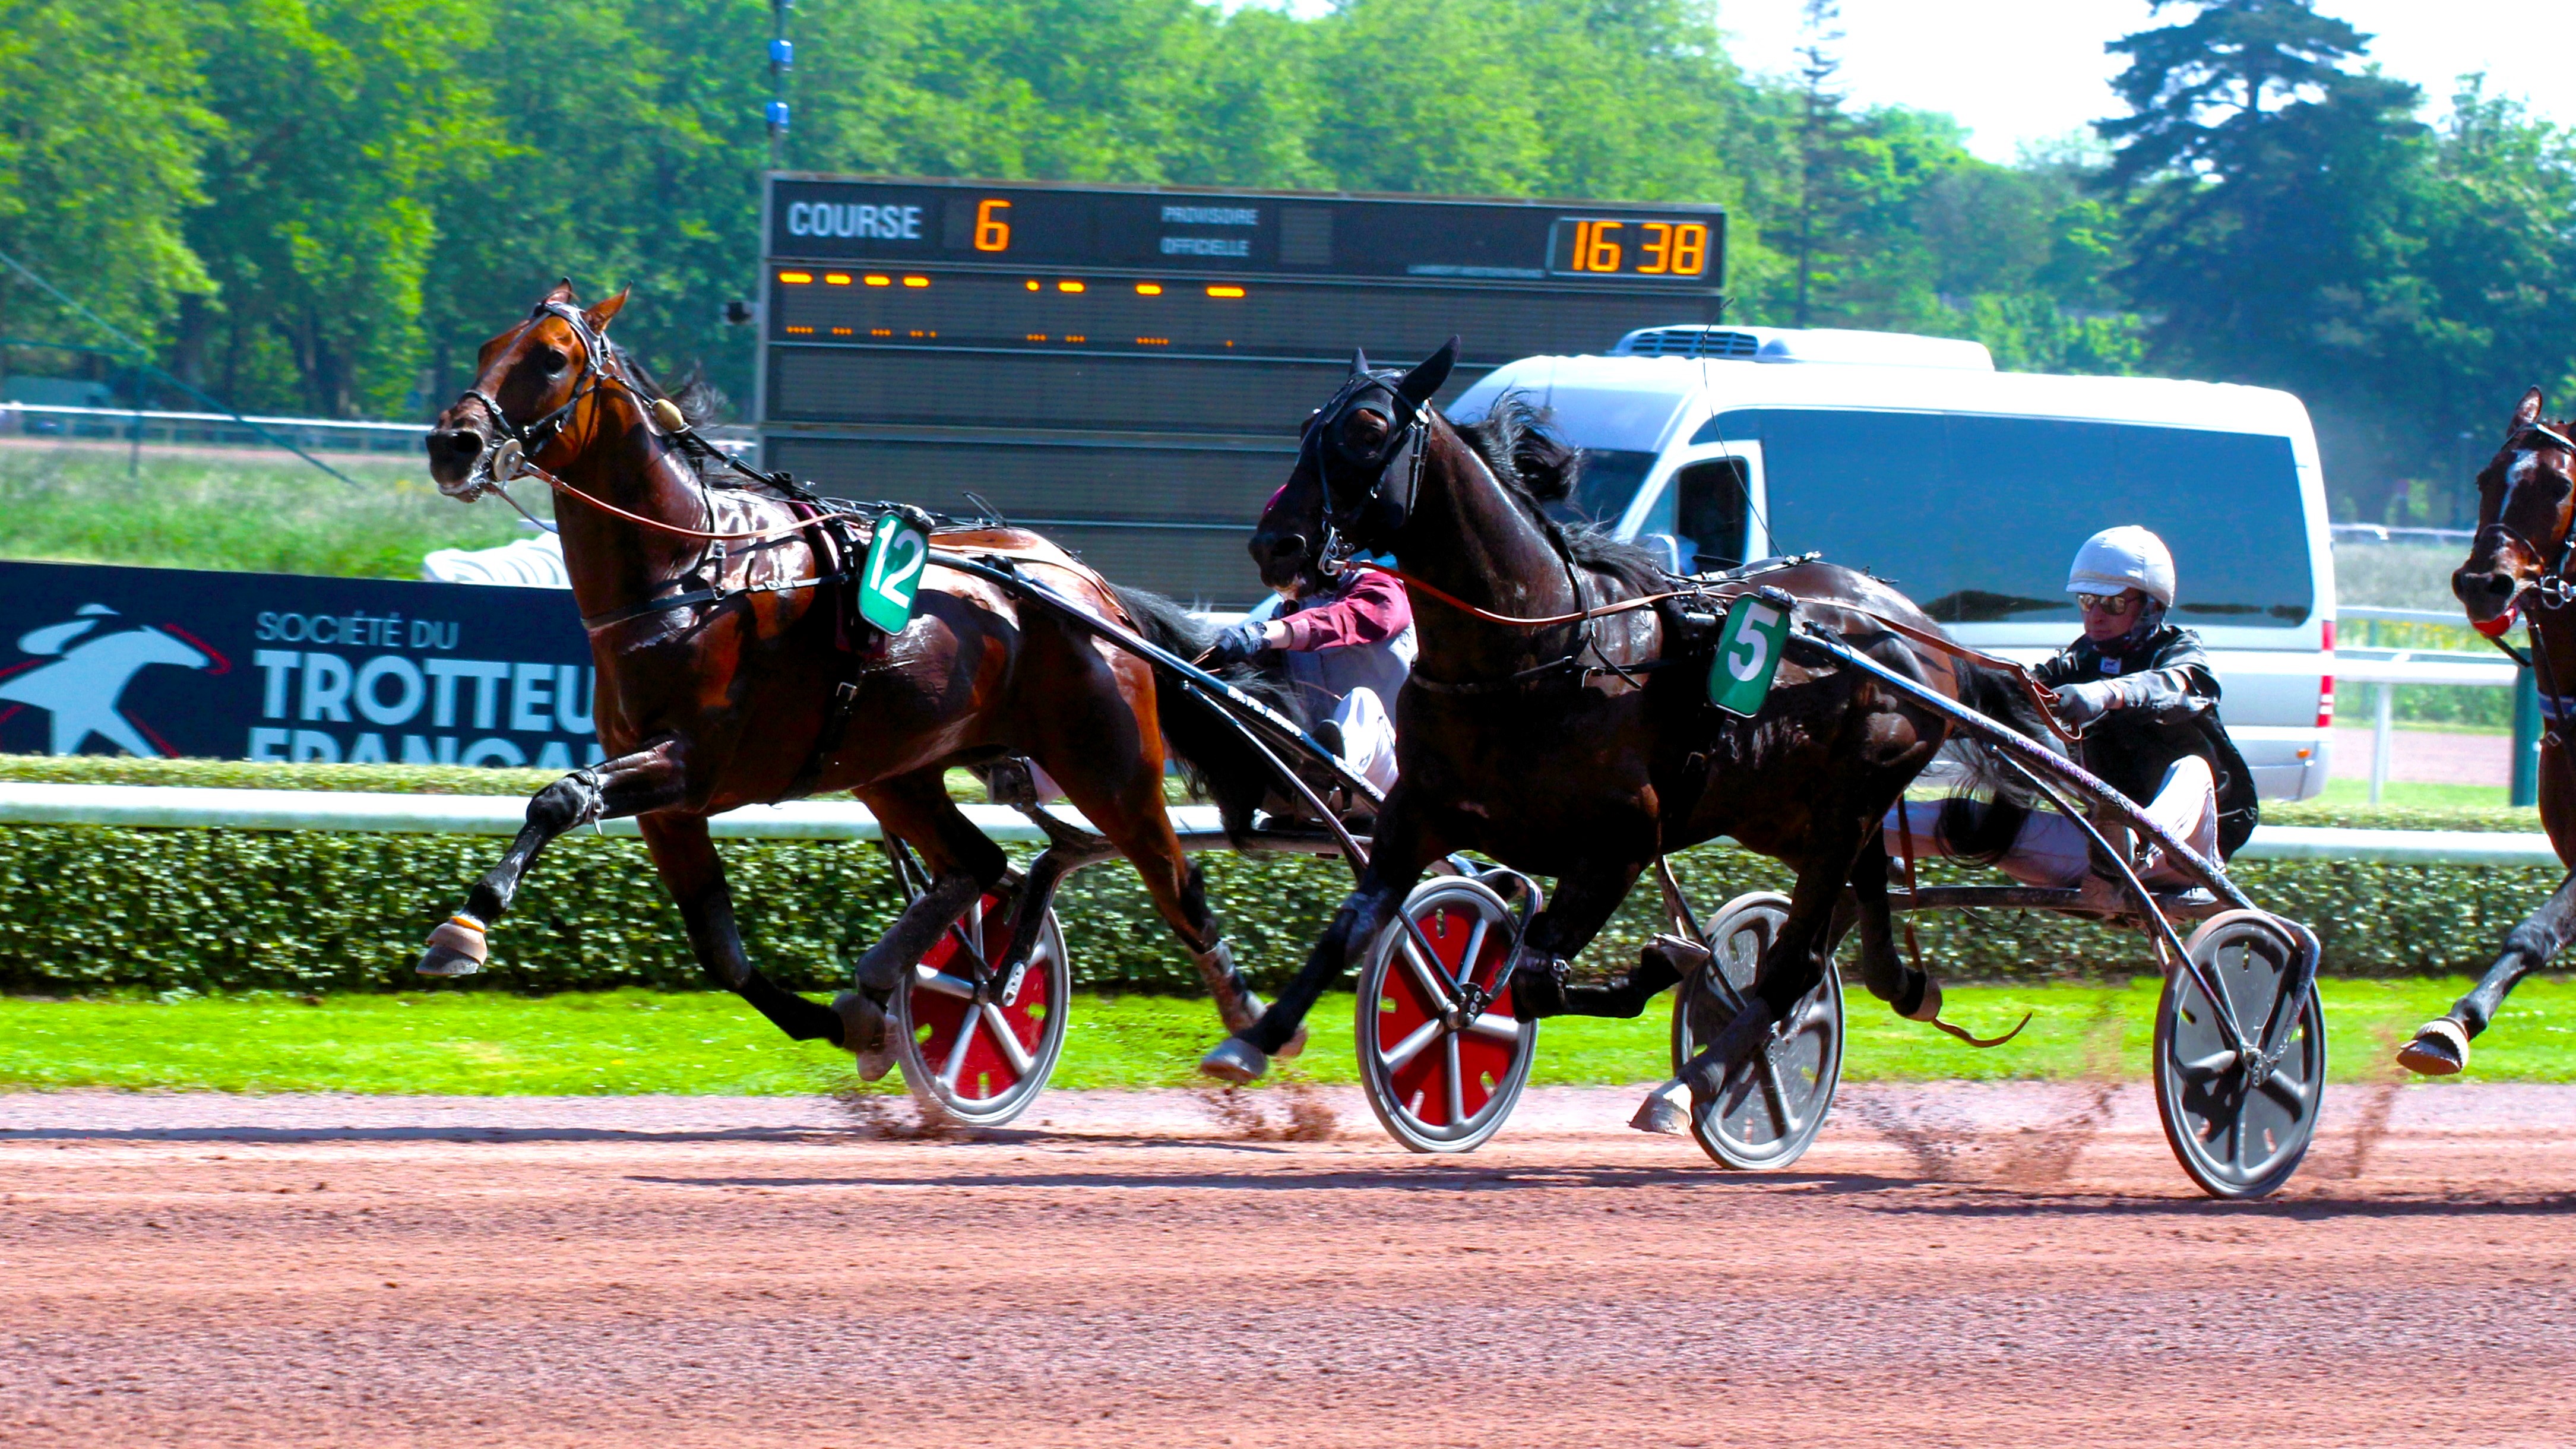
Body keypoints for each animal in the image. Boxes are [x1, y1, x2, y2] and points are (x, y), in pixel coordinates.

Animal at [425, 282, 1308, 1067]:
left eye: (551, 356)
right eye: (486, 347)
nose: (451, 444)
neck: (690, 572)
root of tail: (1088, 587)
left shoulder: (693, 762)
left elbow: (560, 796)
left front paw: (465, 927)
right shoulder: (673, 804)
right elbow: (719, 950)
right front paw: (842, 1023)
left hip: (1109, 766)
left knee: (1177, 885)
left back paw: (1253, 1027)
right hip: (897, 769)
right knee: (981, 865)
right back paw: (888, 979)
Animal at [1200, 343, 2050, 1124]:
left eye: (1369, 428)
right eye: (1309, 425)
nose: (1275, 544)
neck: (1532, 654)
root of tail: (1925, 634)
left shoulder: (1621, 842)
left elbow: (1536, 979)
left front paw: (1665, 963)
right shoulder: (1417, 813)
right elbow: (1353, 927)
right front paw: (1255, 1037)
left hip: (1851, 797)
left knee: (1796, 958)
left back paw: (1696, 1080)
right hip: (1790, 811)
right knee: (1854, 917)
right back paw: (1897, 985)